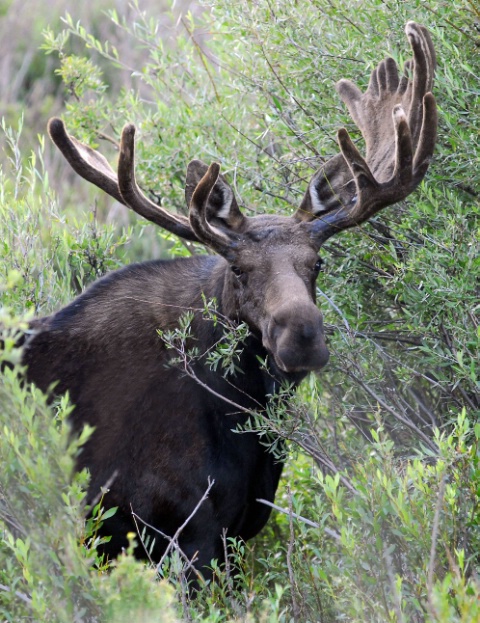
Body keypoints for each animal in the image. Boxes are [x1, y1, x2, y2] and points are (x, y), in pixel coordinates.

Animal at [19, 23, 438, 580]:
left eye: (318, 263)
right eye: (239, 269)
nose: (303, 336)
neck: (240, 414)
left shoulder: (237, 531)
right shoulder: (182, 531)